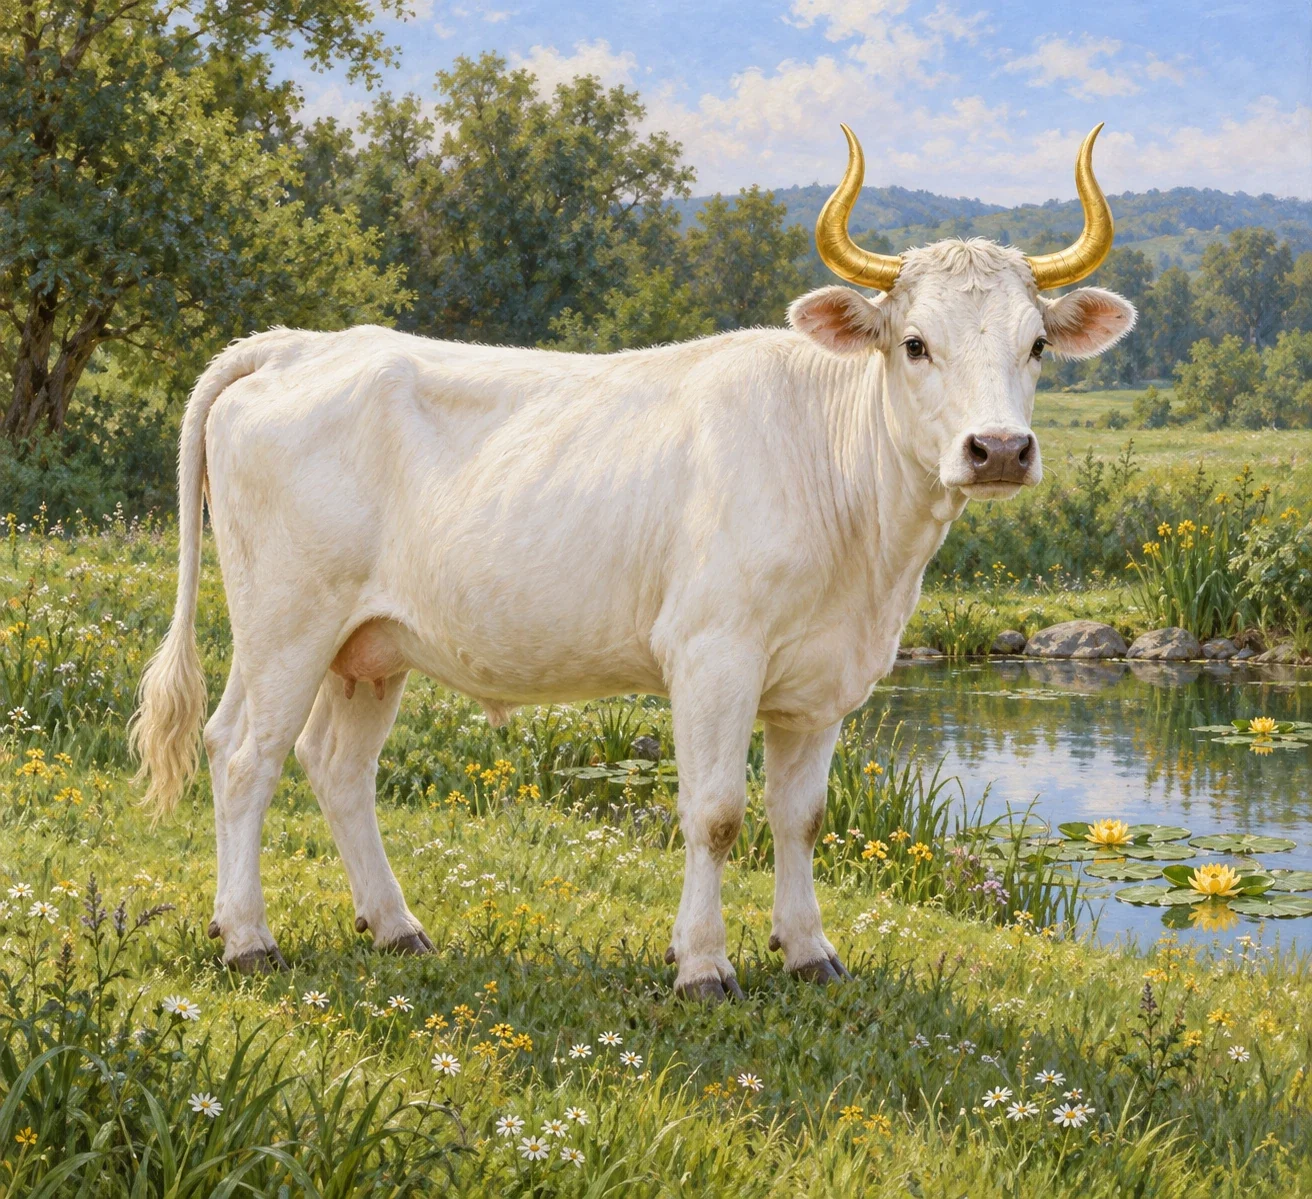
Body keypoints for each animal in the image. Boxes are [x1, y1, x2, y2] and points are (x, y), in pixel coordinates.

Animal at [131, 125, 1134, 998]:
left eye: (1036, 345)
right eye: (916, 343)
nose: (998, 449)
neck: (866, 553)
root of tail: (299, 343)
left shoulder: (822, 680)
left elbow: (802, 814)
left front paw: (809, 950)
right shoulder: (712, 653)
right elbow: (717, 812)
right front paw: (703, 964)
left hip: (367, 644)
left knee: (334, 765)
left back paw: (394, 925)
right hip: (285, 620)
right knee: (243, 753)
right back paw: (248, 938)